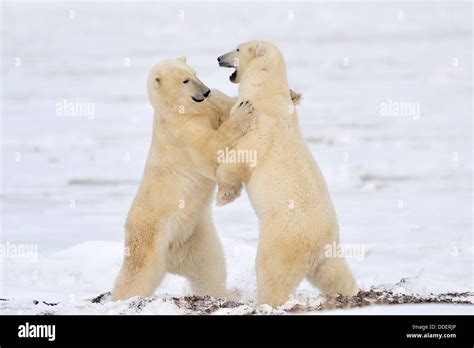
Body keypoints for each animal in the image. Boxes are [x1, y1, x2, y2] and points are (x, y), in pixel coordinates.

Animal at [217, 41, 358, 308]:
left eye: (237, 48)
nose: (219, 58)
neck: (268, 93)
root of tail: (314, 247)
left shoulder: (260, 128)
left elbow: (239, 159)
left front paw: (223, 197)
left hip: (281, 239)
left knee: (272, 273)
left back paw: (265, 302)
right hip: (329, 251)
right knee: (336, 274)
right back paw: (353, 293)